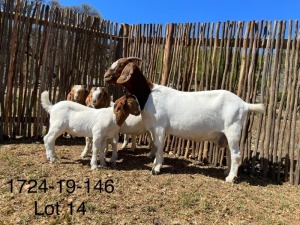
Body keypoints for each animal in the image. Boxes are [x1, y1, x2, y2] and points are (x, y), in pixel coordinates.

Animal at [103, 56, 264, 183]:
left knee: (236, 154)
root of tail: (244, 104)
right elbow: (154, 145)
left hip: (233, 129)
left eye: (121, 65)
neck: (148, 94)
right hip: (228, 133)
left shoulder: (159, 127)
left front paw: (156, 168)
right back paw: (227, 172)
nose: (105, 76)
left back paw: (230, 178)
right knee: (231, 153)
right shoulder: (153, 128)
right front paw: (155, 162)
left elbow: (159, 146)